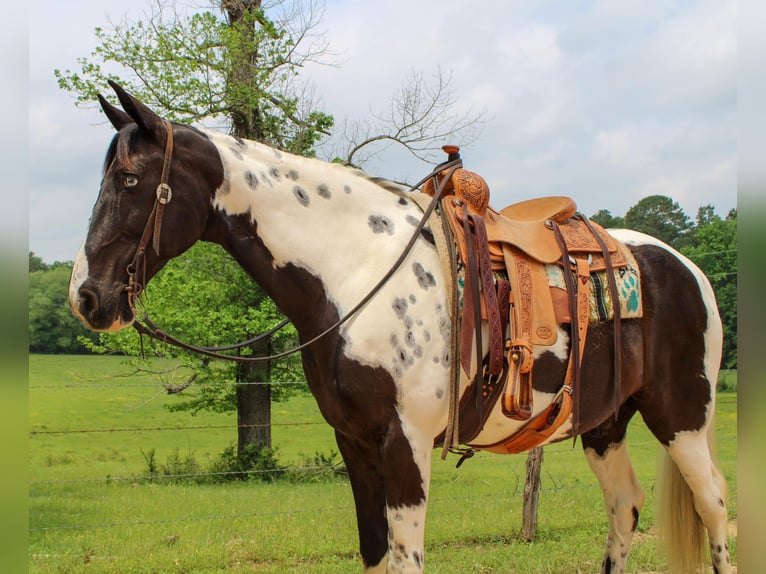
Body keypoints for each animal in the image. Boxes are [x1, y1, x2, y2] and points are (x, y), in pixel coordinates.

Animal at [70, 82, 732, 574]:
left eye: (129, 181)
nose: (86, 296)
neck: (355, 269)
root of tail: (688, 267)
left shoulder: (405, 443)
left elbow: (405, 558)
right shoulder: (356, 444)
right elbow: (374, 556)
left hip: (681, 417)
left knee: (715, 506)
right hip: (605, 424)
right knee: (625, 508)